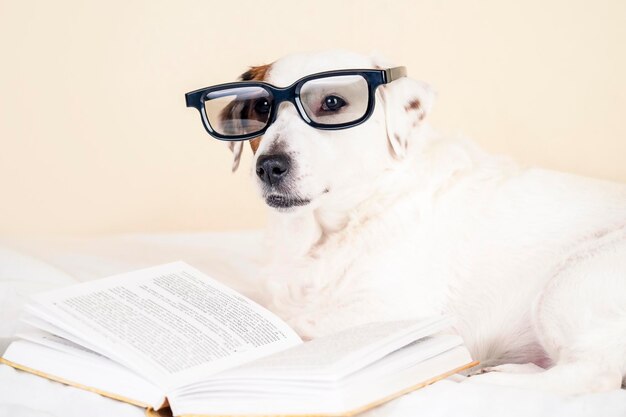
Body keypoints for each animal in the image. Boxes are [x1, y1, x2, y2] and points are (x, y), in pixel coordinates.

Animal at [222, 50, 620, 394]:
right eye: (261, 107)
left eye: (333, 103)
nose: (269, 166)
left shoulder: (393, 314)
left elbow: (299, 327)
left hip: (572, 279)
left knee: (594, 371)